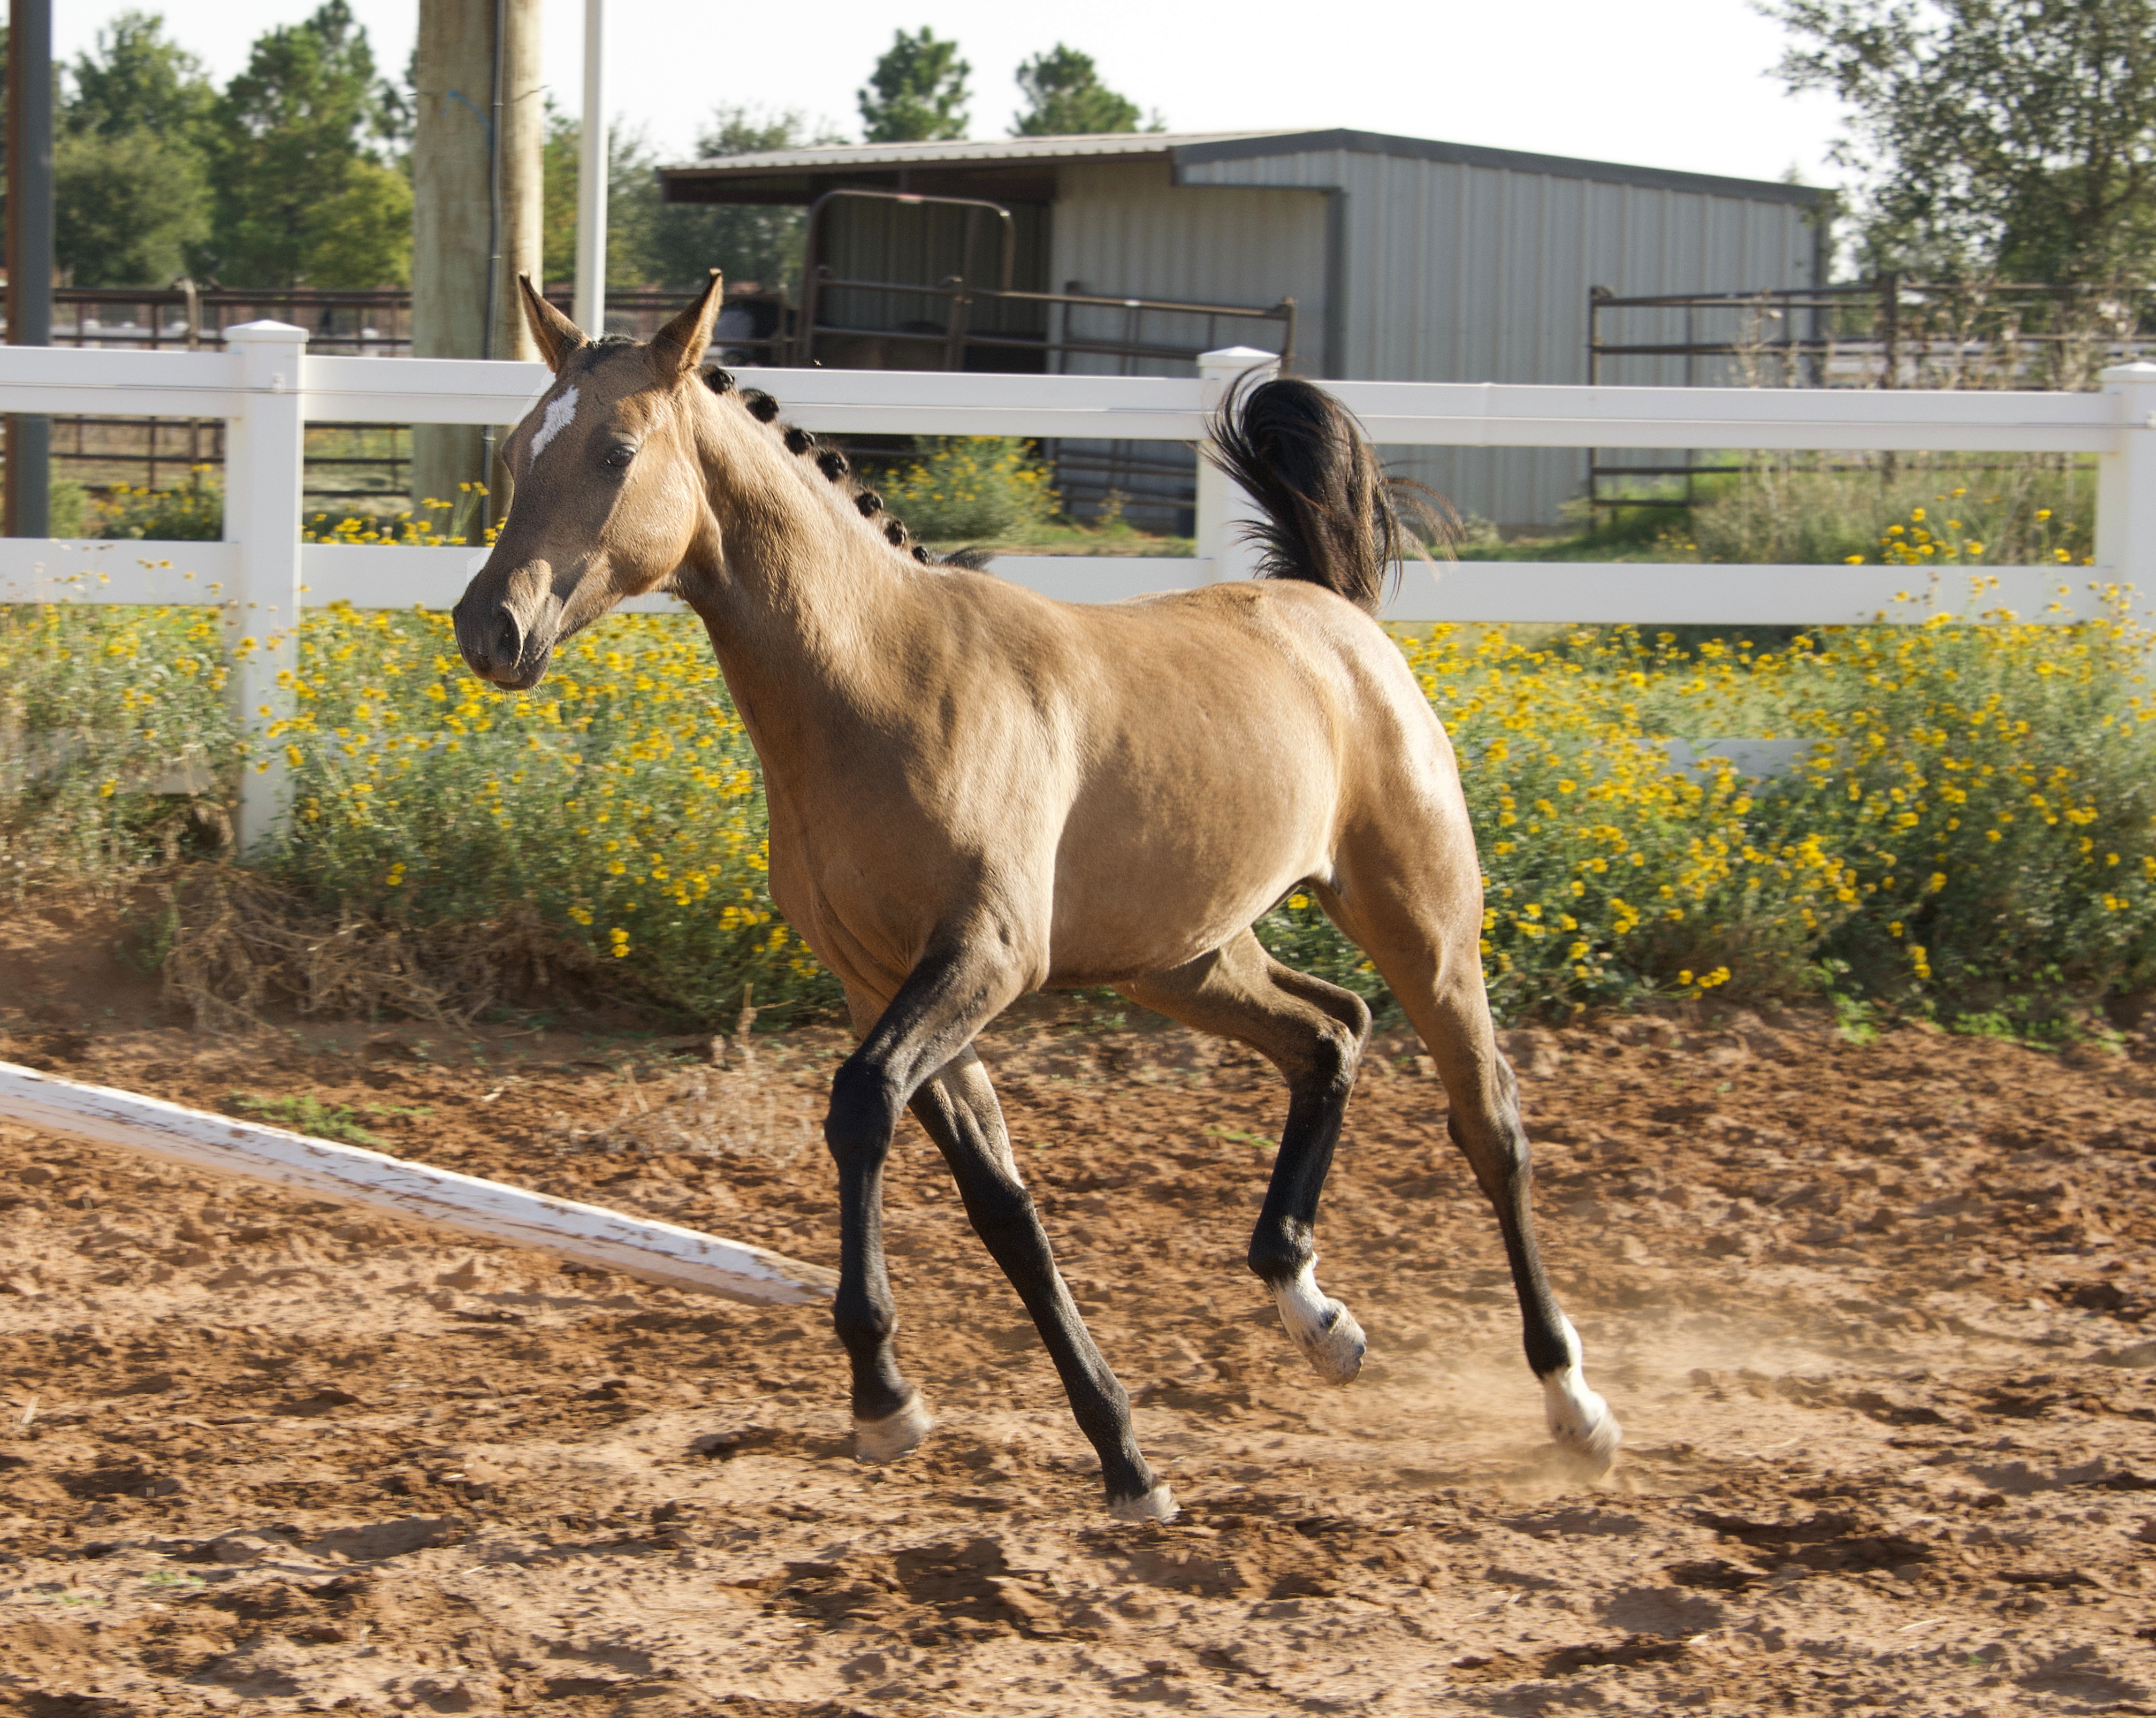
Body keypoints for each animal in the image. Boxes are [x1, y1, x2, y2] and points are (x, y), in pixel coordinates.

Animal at [452, 271, 1622, 1521]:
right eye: (516, 451)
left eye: (617, 451)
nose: (490, 628)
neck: (883, 685)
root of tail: (1332, 610)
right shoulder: (883, 979)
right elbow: (999, 1202)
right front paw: (1119, 1453)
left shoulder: (986, 956)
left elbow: (860, 1107)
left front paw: (885, 1396)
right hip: (1188, 957)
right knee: (1331, 1031)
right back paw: (1315, 1315)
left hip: (1422, 922)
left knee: (1487, 1121)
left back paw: (1572, 1402)